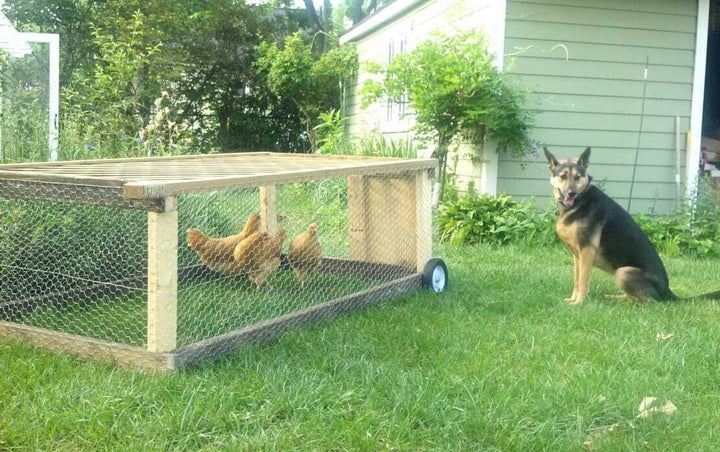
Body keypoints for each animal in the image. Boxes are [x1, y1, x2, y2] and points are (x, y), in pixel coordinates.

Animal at [544, 147, 716, 304]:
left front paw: (579, 303)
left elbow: (583, 282)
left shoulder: (587, 251)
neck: (580, 200)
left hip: (623, 272)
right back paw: (615, 298)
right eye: (563, 176)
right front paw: (572, 299)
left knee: (652, 303)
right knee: (632, 297)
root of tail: (667, 291)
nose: (571, 193)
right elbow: (576, 280)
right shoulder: (577, 256)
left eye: (578, 177)